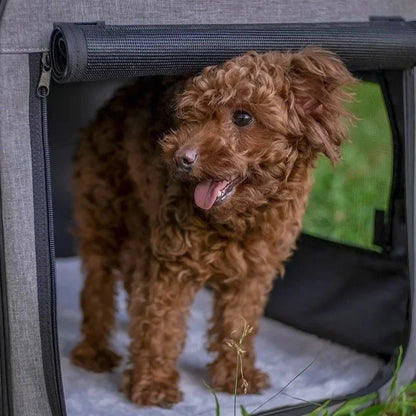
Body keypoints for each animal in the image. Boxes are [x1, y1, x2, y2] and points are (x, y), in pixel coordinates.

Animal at [70, 48, 354, 406]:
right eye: (189, 114)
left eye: (243, 117)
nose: (180, 158)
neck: (239, 218)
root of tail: (114, 100)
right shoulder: (170, 265)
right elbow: (160, 325)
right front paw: (153, 386)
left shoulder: (253, 272)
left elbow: (238, 325)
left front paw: (237, 379)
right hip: (103, 215)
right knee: (98, 285)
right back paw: (94, 352)